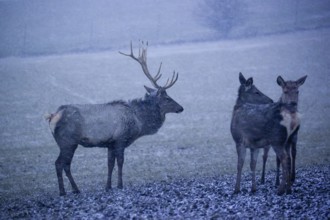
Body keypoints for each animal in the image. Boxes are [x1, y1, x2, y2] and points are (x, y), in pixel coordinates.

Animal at [45, 41, 184, 196]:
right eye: (167, 98)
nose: (181, 108)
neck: (139, 120)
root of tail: (52, 116)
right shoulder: (121, 138)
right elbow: (120, 162)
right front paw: (120, 185)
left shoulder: (110, 143)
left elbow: (110, 164)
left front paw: (108, 186)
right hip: (67, 141)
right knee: (60, 163)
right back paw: (65, 191)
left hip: (67, 143)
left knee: (65, 164)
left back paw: (74, 189)